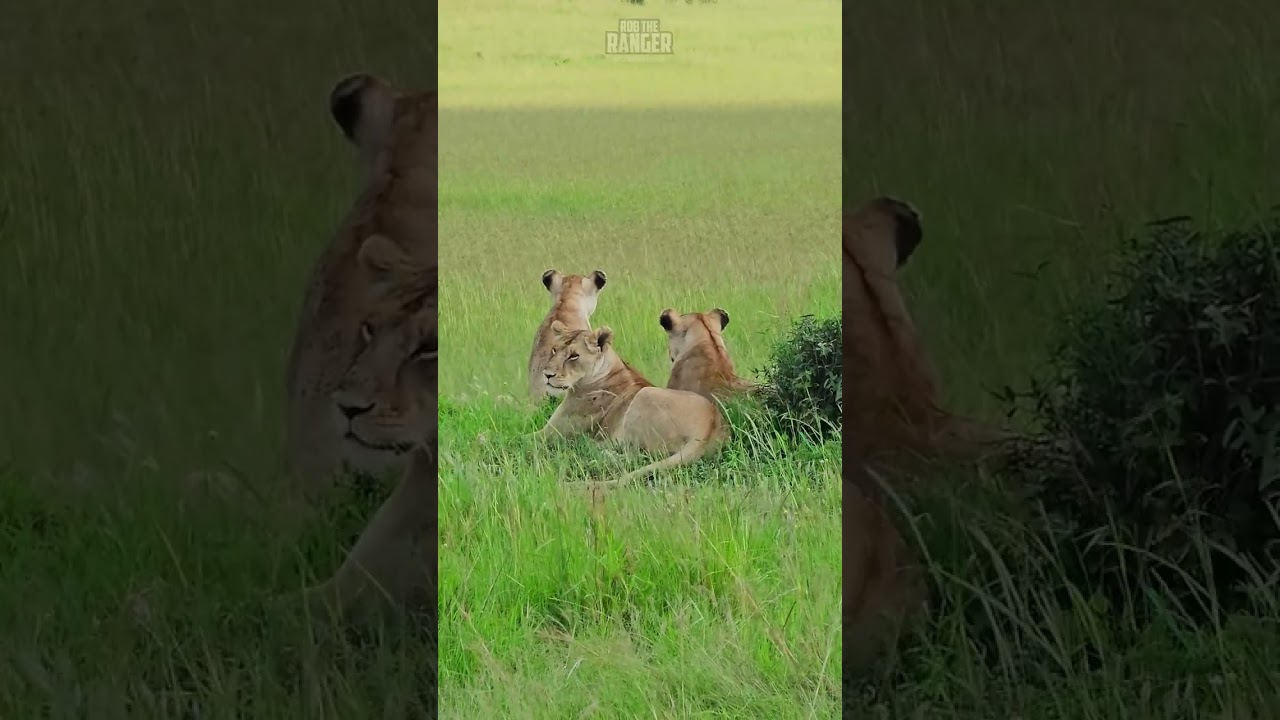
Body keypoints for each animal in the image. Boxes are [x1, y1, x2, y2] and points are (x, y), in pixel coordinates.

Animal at [535, 320, 727, 487]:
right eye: (554, 350)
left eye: (574, 356)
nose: (547, 374)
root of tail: (708, 427)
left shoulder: (551, 433)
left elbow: (527, 439)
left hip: (644, 396)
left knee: (634, 455)